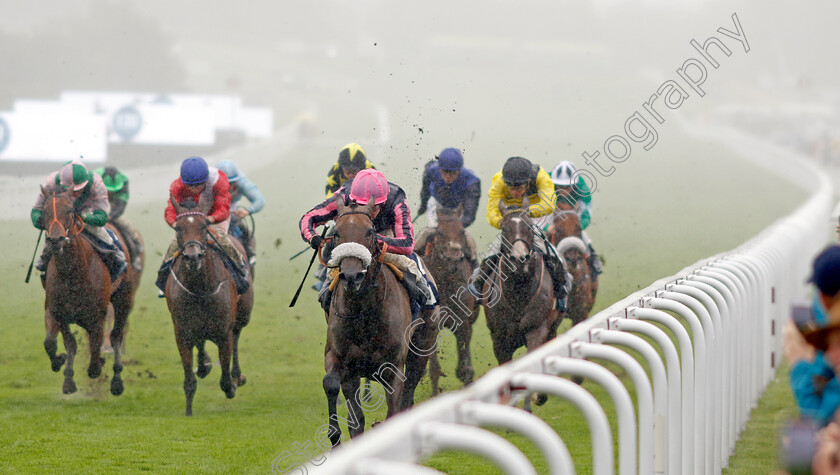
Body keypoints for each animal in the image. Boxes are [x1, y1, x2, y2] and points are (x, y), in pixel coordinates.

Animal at [40, 188, 133, 396]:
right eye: (44, 212)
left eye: (69, 211)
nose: (55, 240)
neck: (73, 274)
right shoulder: (57, 311)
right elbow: (57, 343)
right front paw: (65, 374)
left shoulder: (96, 315)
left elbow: (95, 351)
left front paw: (99, 364)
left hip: (124, 298)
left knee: (116, 335)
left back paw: (117, 381)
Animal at [165, 197, 253, 416]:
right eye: (178, 228)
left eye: (204, 226)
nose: (193, 256)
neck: (199, 289)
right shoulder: (182, 333)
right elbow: (189, 379)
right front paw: (188, 410)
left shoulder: (223, 332)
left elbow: (225, 378)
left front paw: (231, 385)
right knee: (201, 341)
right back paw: (204, 364)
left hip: (243, 315)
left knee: (237, 336)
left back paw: (237, 375)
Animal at [322, 198, 440, 446]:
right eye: (336, 233)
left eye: (370, 232)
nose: (351, 275)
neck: (363, 312)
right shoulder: (340, 360)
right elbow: (334, 388)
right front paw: (335, 437)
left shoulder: (393, 367)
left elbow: (395, 407)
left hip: (422, 349)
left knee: (408, 394)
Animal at [424, 205, 476, 394]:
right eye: (440, 232)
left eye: (461, 230)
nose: (454, 256)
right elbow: (434, 368)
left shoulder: (463, 321)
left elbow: (465, 366)